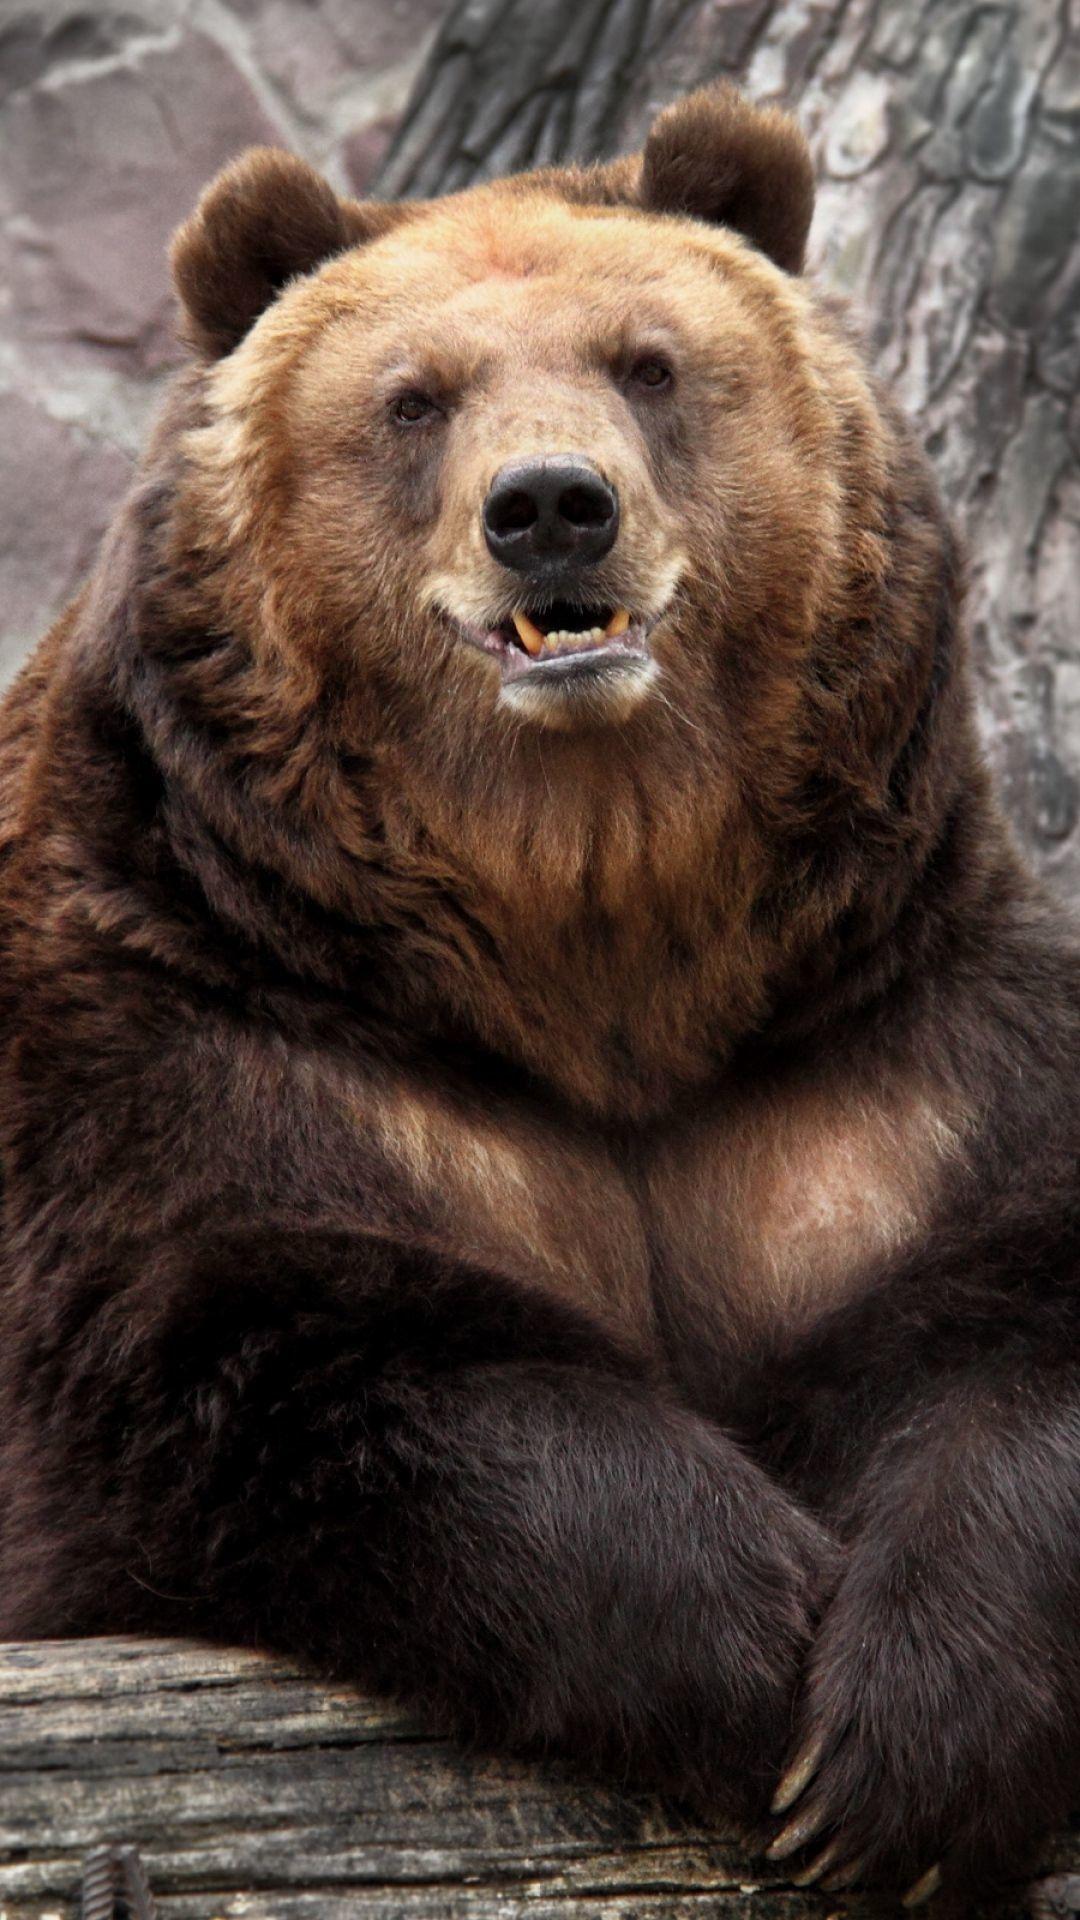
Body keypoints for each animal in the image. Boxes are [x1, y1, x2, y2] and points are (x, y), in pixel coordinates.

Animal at [0, 79, 1078, 1904]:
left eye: (649, 363)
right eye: (413, 398)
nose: (553, 506)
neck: (592, 940)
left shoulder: (882, 1047)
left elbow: (1021, 1316)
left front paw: (906, 1744)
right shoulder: (189, 1028)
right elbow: (263, 1342)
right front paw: (752, 1647)